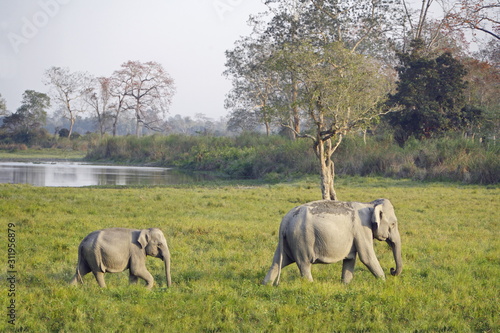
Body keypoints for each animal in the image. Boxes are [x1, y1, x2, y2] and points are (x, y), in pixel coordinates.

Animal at [262, 198, 402, 284]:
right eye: (393, 224)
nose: (392, 270)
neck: (369, 205)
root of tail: (285, 220)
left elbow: (350, 259)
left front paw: (345, 285)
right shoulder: (362, 230)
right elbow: (367, 257)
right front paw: (384, 283)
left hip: (288, 240)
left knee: (278, 262)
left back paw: (266, 285)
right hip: (301, 238)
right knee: (304, 264)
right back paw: (311, 285)